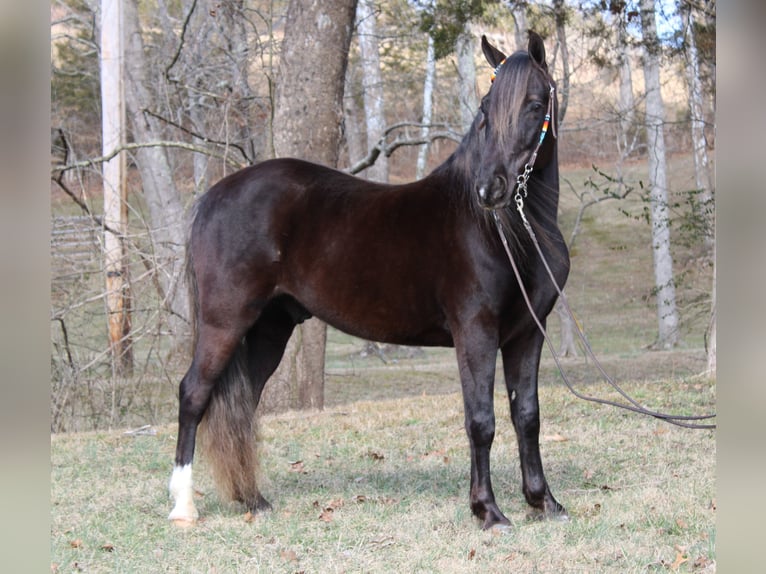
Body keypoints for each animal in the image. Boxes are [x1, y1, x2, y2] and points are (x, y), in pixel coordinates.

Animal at [168, 31, 570, 531]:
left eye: (535, 105)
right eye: (485, 107)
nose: (489, 189)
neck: (509, 232)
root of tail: (213, 196)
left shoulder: (528, 332)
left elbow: (527, 414)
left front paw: (544, 502)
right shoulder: (475, 332)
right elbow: (481, 419)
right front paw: (489, 511)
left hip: (268, 329)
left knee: (242, 403)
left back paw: (252, 499)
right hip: (224, 322)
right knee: (193, 394)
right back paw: (184, 507)